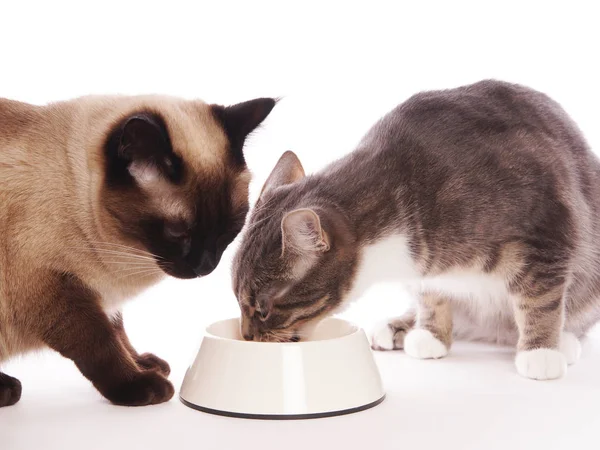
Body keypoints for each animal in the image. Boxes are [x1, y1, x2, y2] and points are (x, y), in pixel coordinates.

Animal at [0, 93, 276, 406]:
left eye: (228, 231)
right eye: (178, 232)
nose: (205, 267)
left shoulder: (102, 298)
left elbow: (119, 333)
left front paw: (144, 364)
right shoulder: (53, 290)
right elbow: (99, 342)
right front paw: (139, 385)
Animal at [231, 81, 600, 380]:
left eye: (263, 309)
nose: (246, 335)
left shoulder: (546, 229)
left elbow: (541, 298)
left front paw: (541, 351)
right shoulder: (425, 267)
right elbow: (430, 294)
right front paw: (431, 333)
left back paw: (563, 339)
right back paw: (399, 325)